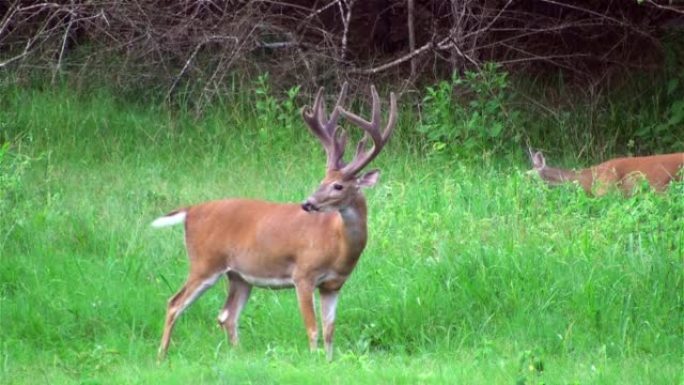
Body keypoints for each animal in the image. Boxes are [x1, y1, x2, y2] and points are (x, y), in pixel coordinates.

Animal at [150, 82, 396, 360]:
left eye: (338, 185)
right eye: (321, 180)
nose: (307, 203)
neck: (338, 244)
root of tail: (191, 210)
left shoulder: (333, 285)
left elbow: (329, 331)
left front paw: (329, 362)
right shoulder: (303, 274)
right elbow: (313, 329)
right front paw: (314, 360)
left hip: (239, 275)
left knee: (226, 315)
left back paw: (238, 355)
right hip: (205, 262)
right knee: (174, 303)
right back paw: (161, 357)